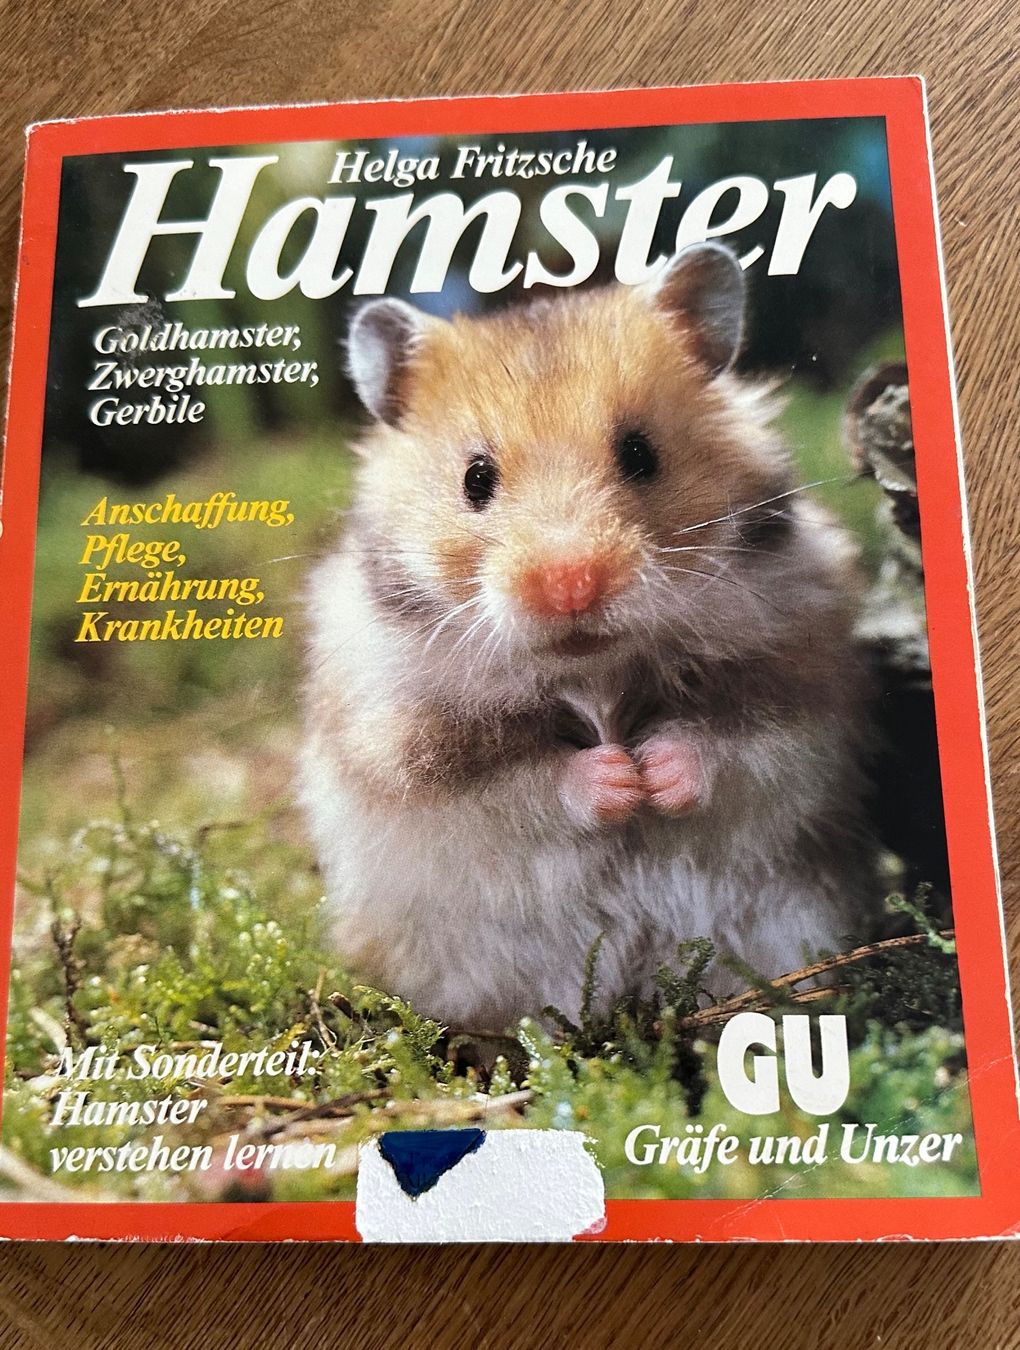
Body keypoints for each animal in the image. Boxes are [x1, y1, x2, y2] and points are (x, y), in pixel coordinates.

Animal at [299, 242, 875, 1031]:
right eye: (475, 478)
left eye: (639, 454)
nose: (571, 583)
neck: (591, 669)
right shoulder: (413, 747)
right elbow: (526, 784)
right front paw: (616, 779)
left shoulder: (800, 684)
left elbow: (732, 745)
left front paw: (652, 773)